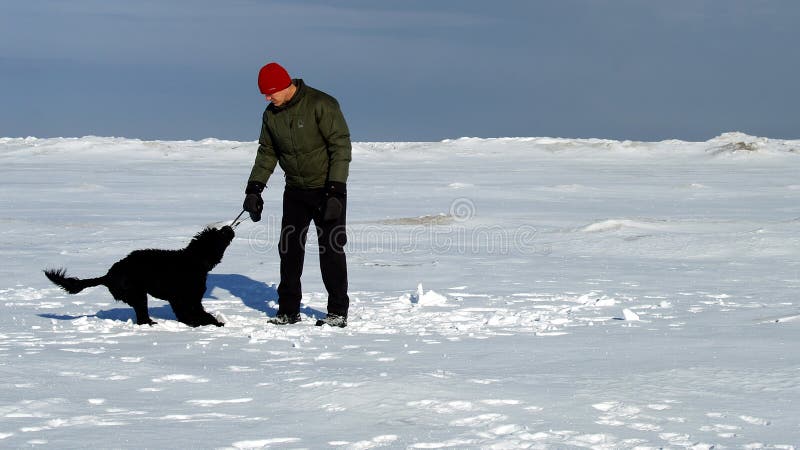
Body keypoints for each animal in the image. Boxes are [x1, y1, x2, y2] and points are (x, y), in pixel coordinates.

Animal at [44, 225, 234, 326]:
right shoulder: (184, 298)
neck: (194, 261)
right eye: (218, 234)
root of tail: (108, 275)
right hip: (137, 294)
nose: (228, 227)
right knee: (142, 317)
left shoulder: (188, 299)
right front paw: (210, 323)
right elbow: (194, 313)